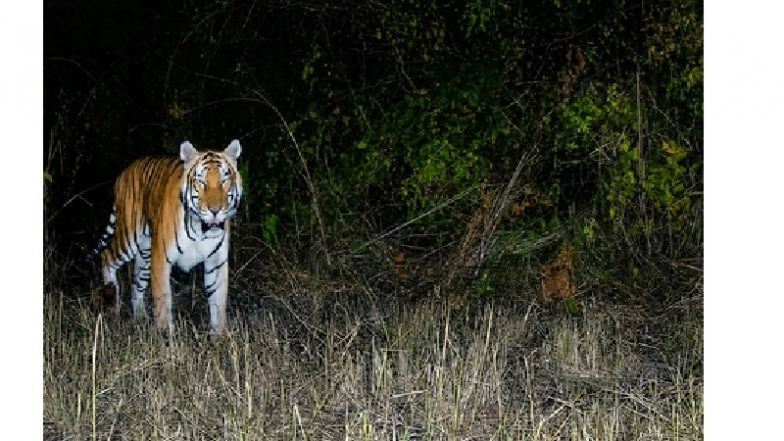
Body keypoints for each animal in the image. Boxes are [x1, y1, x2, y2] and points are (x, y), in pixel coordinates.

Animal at [87, 139, 243, 339]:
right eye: (201, 181)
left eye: (225, 180)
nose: (215, 210)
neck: (201, 229)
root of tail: (124, 172)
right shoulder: (161, 259)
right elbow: (163, 302)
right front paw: (167, 338)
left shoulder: (216, 263)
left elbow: (218, 305)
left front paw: (219, 340)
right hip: (129, 237)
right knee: (107, 255)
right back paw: (111, 299)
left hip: (145, 254)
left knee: (136, 285)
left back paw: (140, 318)